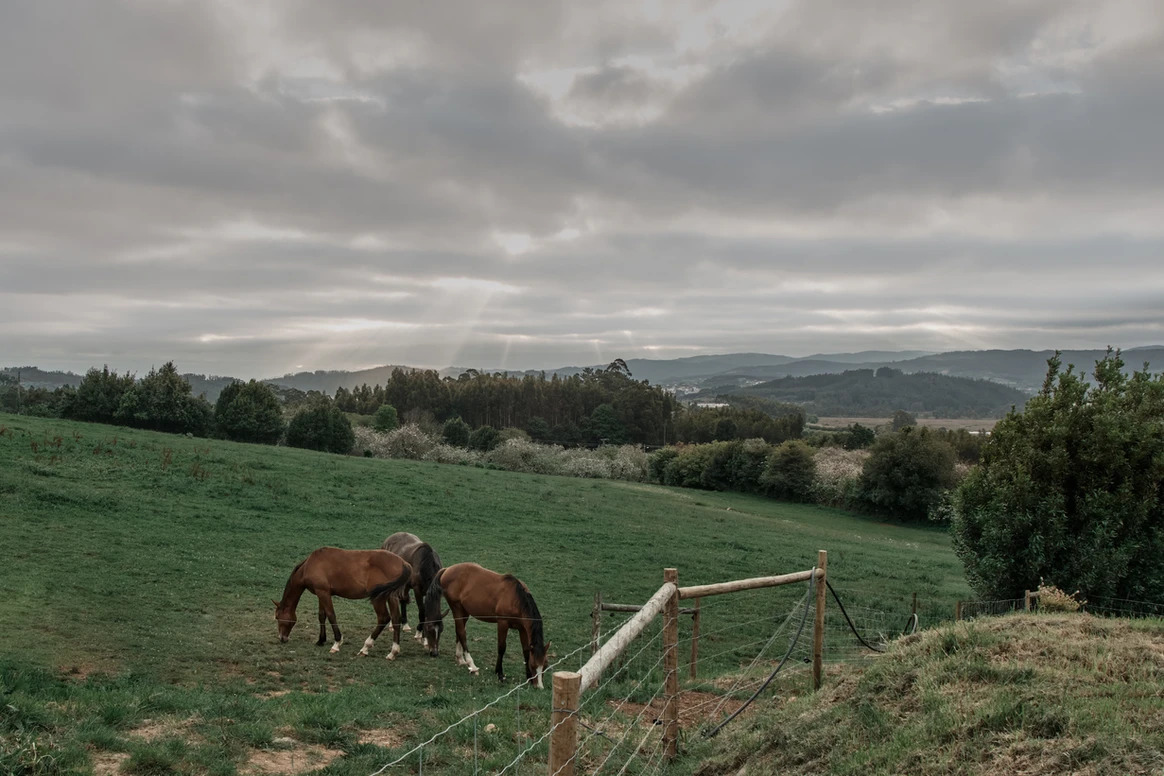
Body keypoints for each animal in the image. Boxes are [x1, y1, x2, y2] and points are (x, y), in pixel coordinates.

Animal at [274, 546, 412, 660]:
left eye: (278, 617)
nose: (282, 638)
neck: (310, 564)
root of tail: (403, 563)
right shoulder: (322, 593)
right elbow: (322, 616)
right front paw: (321, 640)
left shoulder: (323, 593)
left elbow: (331, 615)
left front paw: (336, 643)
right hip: (391, 597)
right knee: (395, 619)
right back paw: (393, 652)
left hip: (378, 598)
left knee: (383, 618)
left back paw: (365, 647)